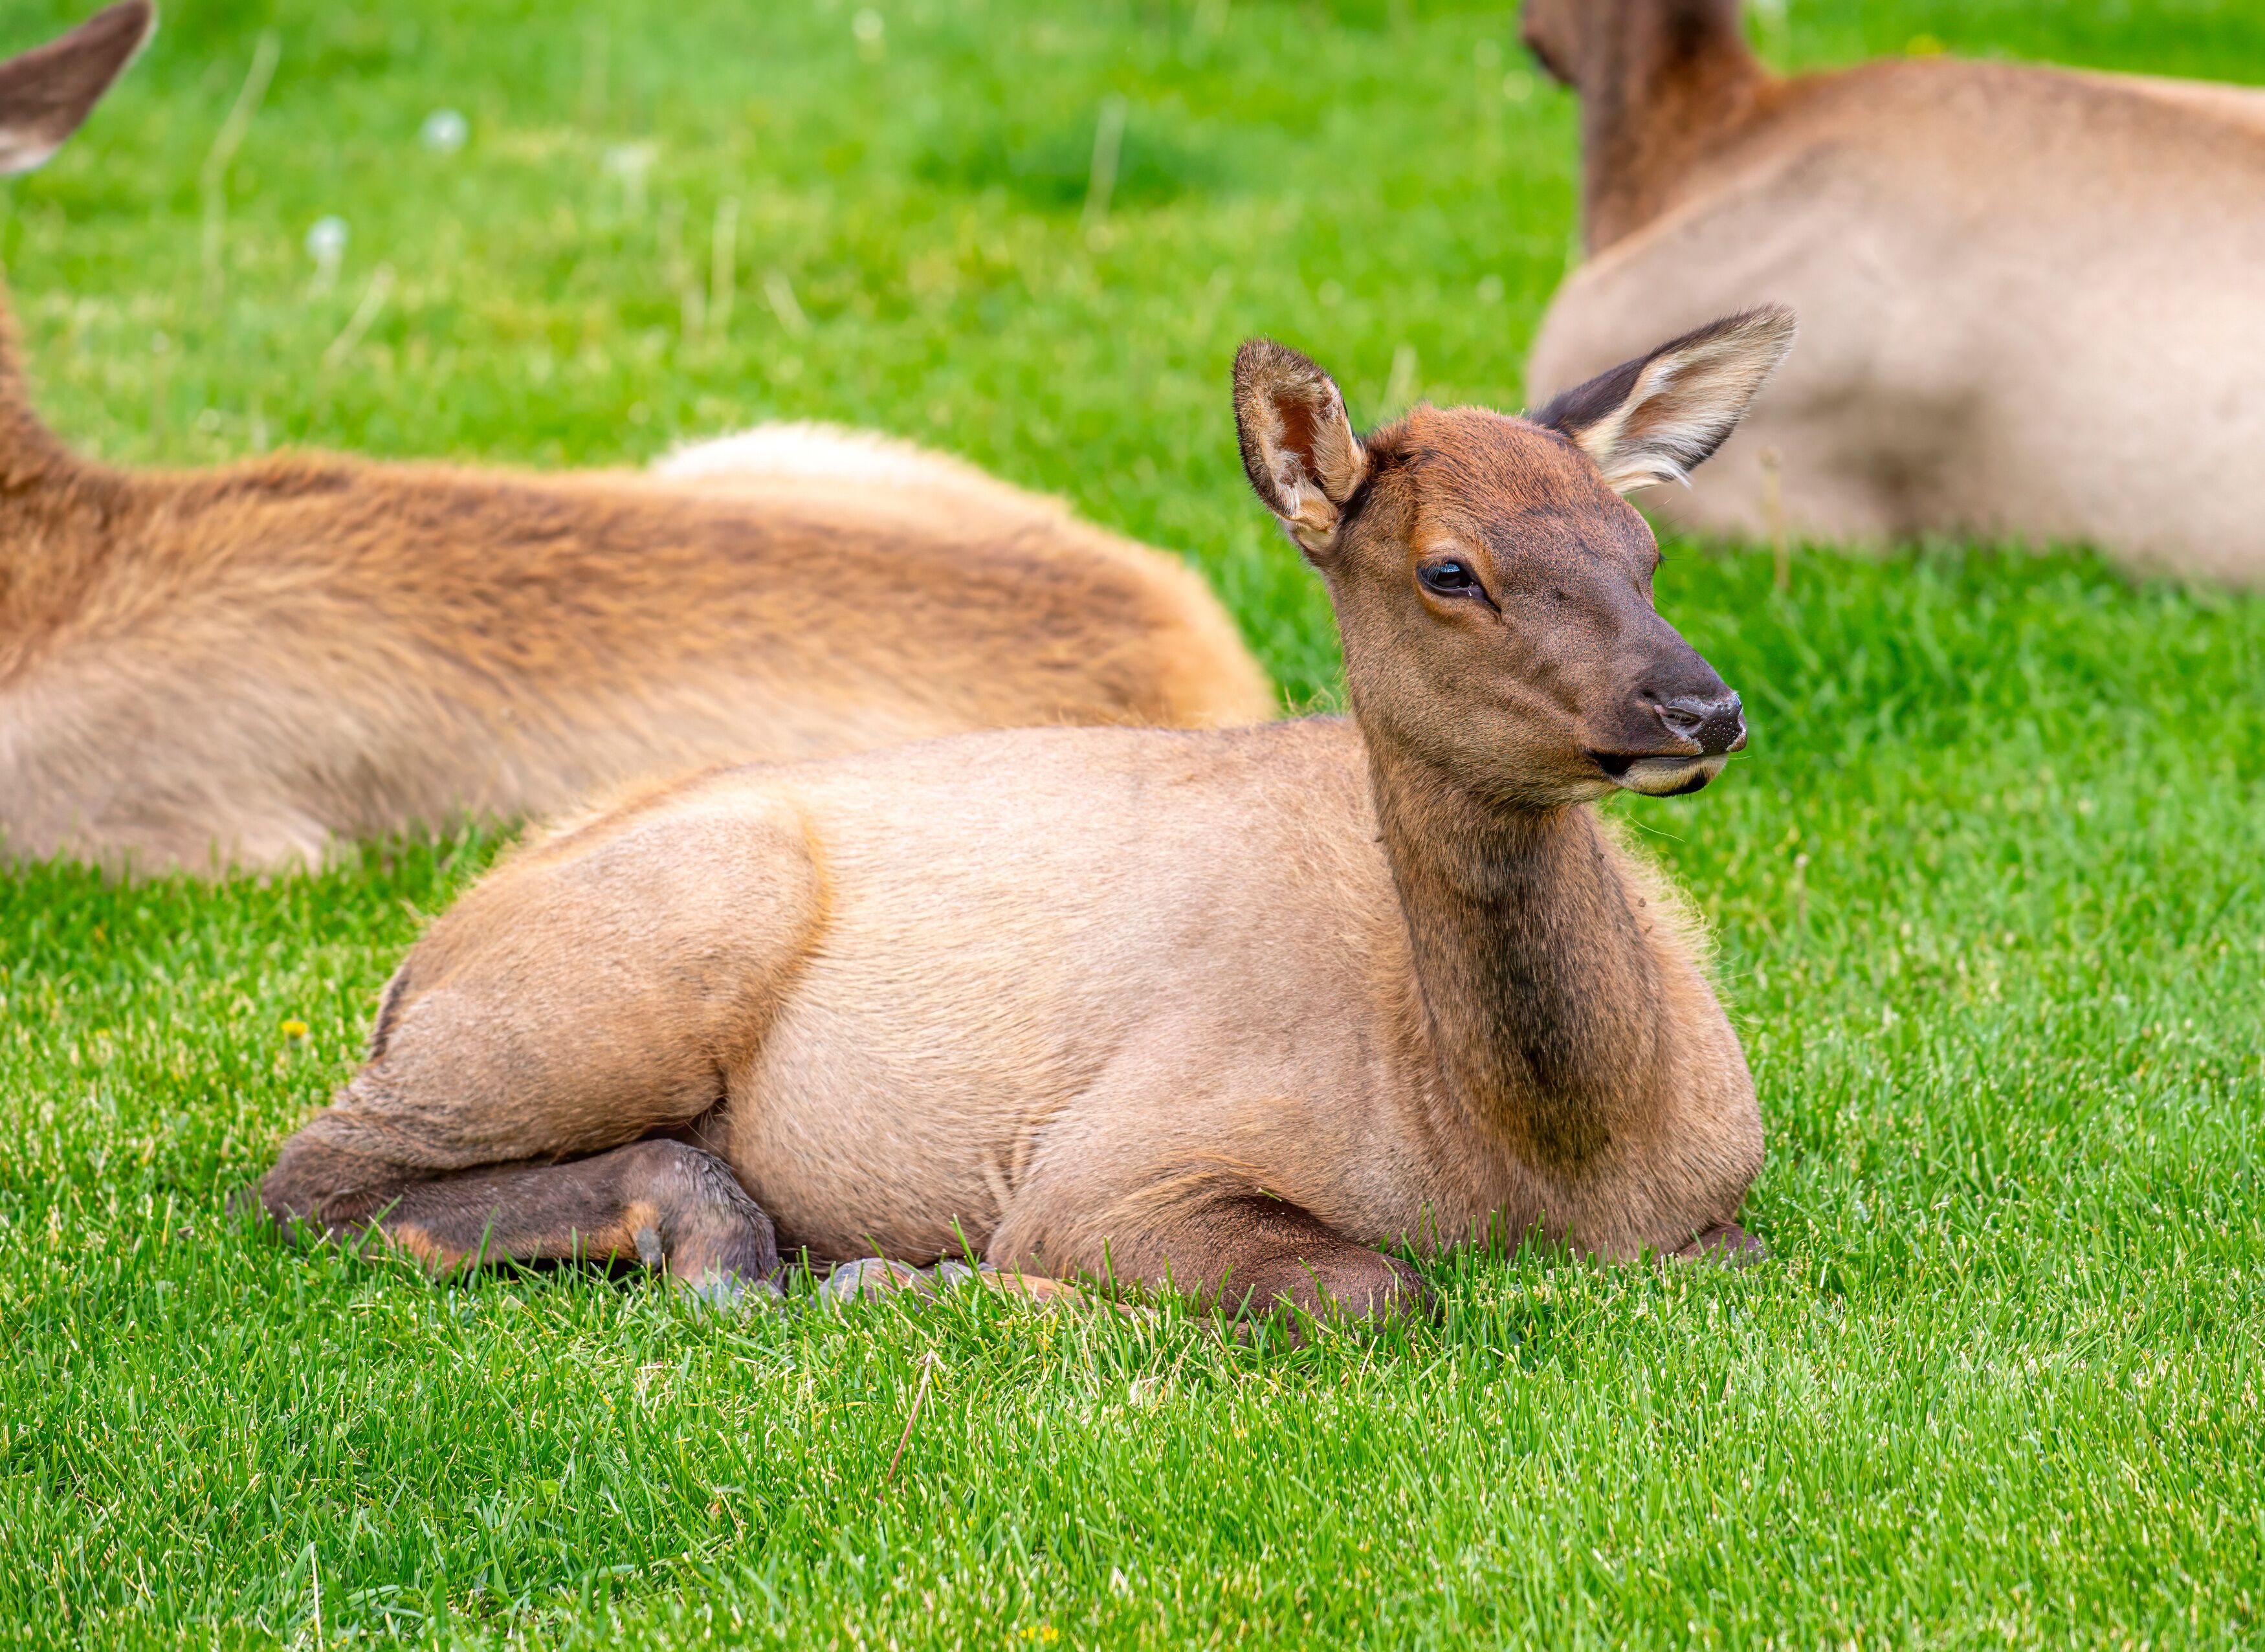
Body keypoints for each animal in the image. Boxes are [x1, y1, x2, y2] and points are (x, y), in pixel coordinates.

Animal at [257, 306, 1795, 1328]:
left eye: (1644, 549)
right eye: (1449, 569)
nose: (1698, 707)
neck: (1551, 1161)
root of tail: (420, 961)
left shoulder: (1725, 1199)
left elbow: (1738, 1251)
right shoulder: (1115, 1164)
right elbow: (1367, 1287)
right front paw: (938, 1281)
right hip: (611, 977)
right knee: (302, 1182)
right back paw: (738, 1243)